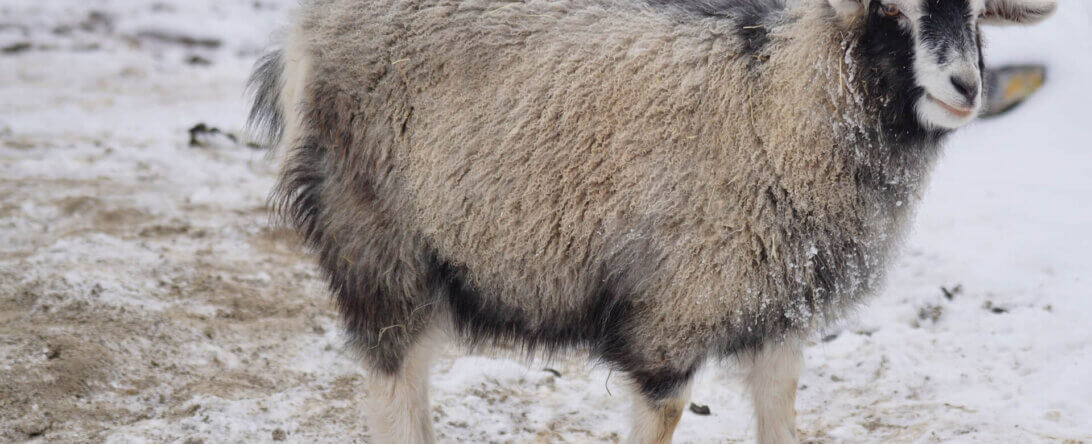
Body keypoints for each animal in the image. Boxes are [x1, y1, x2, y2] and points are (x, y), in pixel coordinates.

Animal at [250, 1, 1057, 442]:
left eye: (978, 13)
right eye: (890, 10)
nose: (966, 87)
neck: (778, 104)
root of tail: (301, 34)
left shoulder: (778, 313)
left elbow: (783, 419)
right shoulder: (672, 317)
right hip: (379, 244)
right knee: (395, 388)